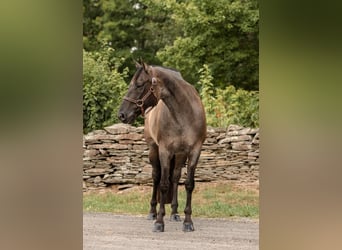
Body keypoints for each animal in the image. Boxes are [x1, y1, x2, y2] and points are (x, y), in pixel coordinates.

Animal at [117, 61, 206, 232]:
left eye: (139, 85)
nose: (122, 115)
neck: (184, 113)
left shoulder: (194, 151)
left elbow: (188, 184)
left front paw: (188, 222)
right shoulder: (165, 151)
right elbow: (163, 185)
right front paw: (159, 221)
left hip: (179, 155)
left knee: (175, 177)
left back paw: (174, 213)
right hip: (154, 150)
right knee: (156, 177)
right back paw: (152, 212)